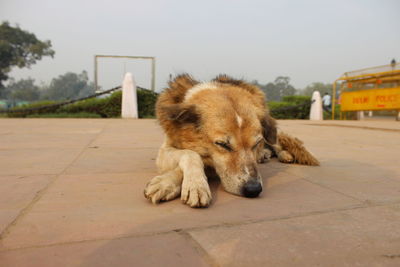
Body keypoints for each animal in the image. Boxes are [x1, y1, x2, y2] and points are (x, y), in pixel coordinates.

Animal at [144, 74, 318, 208]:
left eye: (255, 143)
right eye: (222, 144)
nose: (253, 190)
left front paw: (183, 184)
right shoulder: (165, 150)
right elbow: (192, 154)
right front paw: (183, 183)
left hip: (271, 130)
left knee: (276, 142)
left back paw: (282, 155)